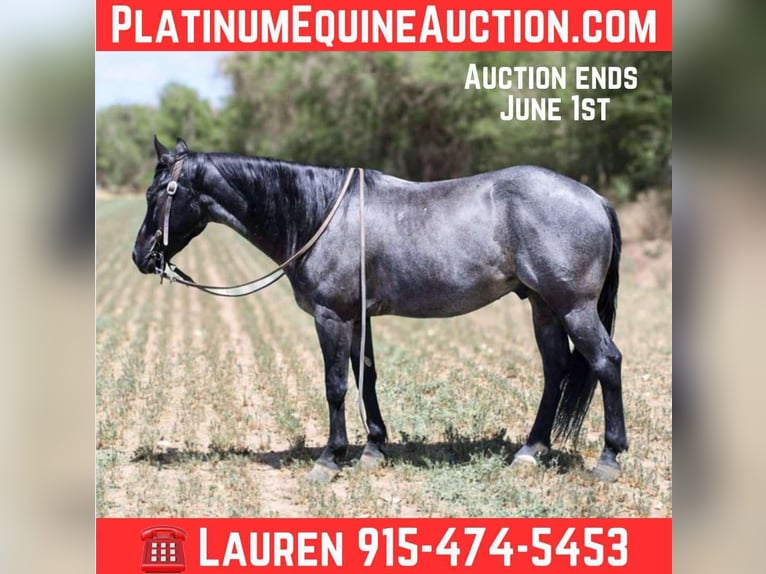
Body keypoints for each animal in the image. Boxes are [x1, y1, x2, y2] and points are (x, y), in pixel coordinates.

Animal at [132, 136, 627, 482]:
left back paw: (609, 458)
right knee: (555, 368)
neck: (319, 214)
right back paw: (531, 450)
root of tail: (595, 199)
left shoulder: (331, 317)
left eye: (155, 194)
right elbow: (364, 376)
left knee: (606, 362)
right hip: (544, 306)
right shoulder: (358, 318)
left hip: (575, 308)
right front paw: (373, 449)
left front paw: (330, 459)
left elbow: (335, 385)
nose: (141, 257)